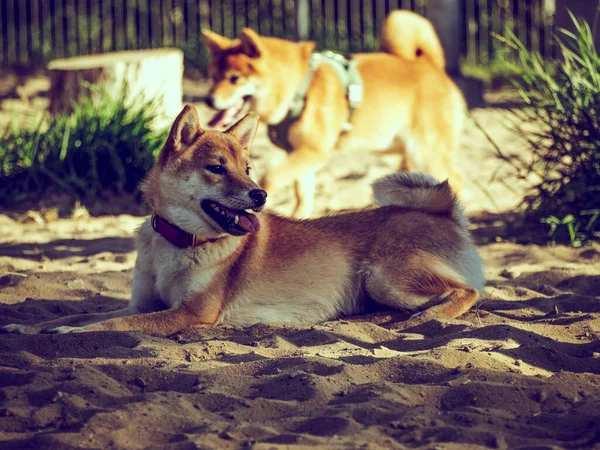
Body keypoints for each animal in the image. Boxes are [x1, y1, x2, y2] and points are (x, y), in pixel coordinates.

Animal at [2, 105, 486, 336]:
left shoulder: (191, 313)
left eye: (248, 169)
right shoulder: (141, 304)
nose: (260, 194)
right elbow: (85, 314)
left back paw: (426, 319)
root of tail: (444, 212)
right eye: (217, 168)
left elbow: (107, 325)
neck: (178, 244)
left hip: (385, 276)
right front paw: (31, 326)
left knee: (469, 292)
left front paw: (68, 330)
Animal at [204, 8, 466, 216]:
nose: (208, 99)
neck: (300, 87)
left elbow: (270, 178)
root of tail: (431, 66)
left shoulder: (313, 152)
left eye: (234, 79)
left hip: (426, 151)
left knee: (456, 181)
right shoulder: (301, 155)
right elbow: (302, 194)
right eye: (214, 76)